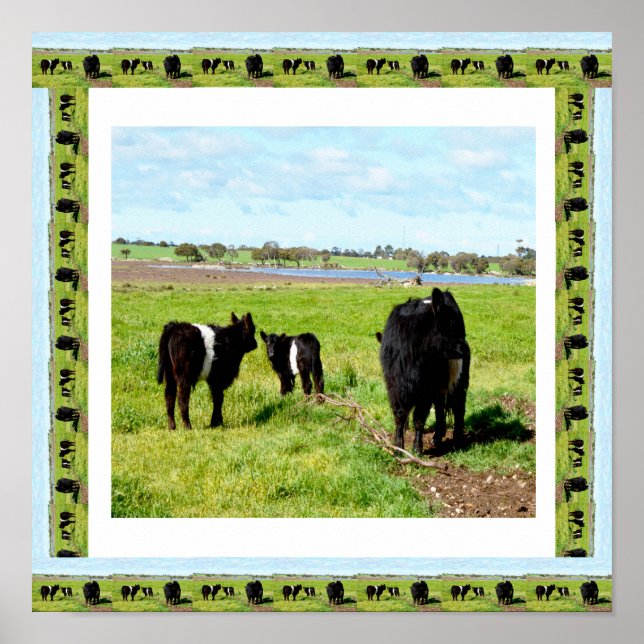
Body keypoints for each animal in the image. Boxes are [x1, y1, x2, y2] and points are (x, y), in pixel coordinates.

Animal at [379, 288, 470, 452]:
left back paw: (457, 439)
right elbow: (399, 416)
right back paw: (437, 437)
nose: (466, 349)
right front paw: (398, 446)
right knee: (440, 408)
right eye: (450, 324)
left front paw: (417, 448)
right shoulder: (394, 387)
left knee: (458, 407)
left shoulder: (426, 390)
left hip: (459, 380)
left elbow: (419, 418)